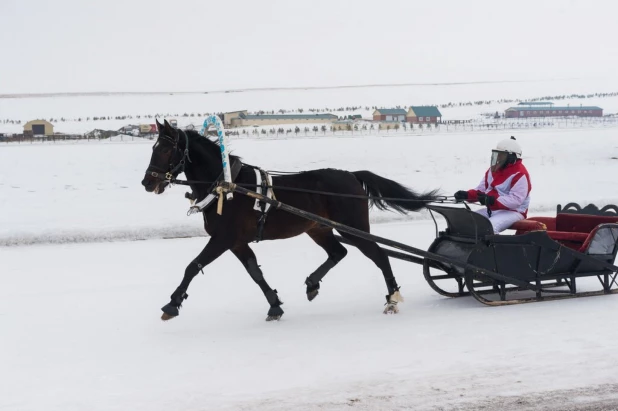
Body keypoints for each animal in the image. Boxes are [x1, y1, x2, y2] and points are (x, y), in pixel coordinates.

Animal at [141, 119, 438, 322]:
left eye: (165, 150)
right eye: (154, 148)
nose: (147, 182)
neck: (227, 187)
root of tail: (351, 175)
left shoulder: (223, 238)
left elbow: (193, 266)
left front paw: (172, 304)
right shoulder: (236, 242)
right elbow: (255, 272)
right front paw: (274, 305)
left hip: (353, 228)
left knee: (379, 255)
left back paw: (392, 298)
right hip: (319, 228)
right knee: (338, 252)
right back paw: (312, 284)